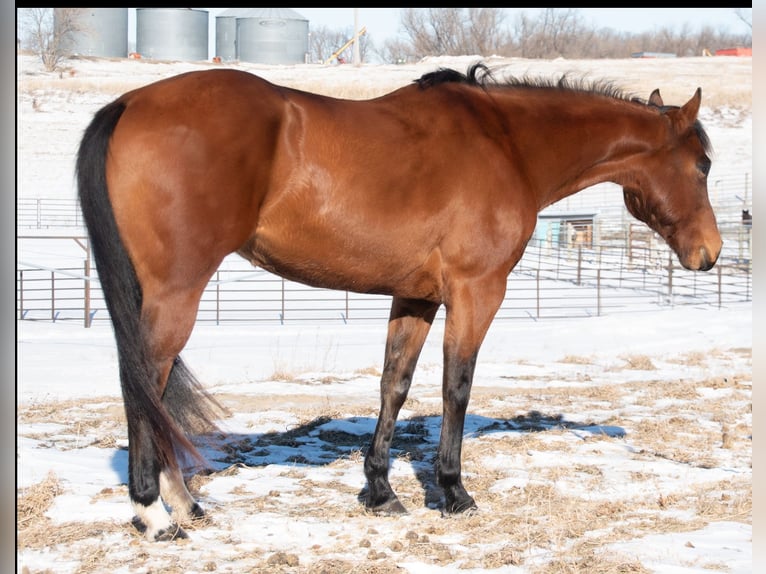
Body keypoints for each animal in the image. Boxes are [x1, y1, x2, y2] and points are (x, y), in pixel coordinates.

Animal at [76, 62, 721, 541]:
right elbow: (456, 387)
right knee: (145, 384)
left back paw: (184, 503)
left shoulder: (415, 297)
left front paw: (380, 491)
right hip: (176, 294)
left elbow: (395, 384)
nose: (710, 253)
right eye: (704, 165)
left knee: (153, 392)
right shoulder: (476, 292)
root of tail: (128, 104)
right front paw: (454, 491)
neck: (506, 143)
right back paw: (157, 512)